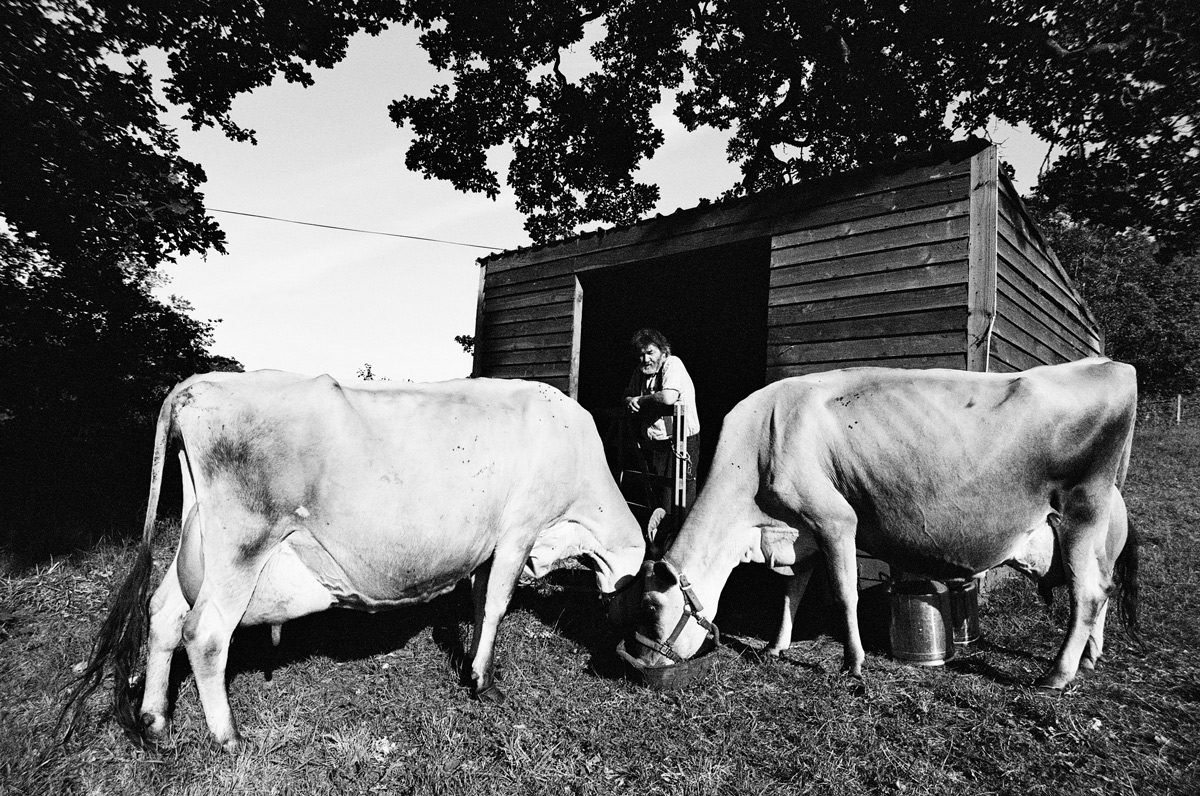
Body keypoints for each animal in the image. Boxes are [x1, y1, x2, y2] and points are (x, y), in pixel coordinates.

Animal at [624, 357, 1137, 686]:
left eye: (649, 606)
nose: (643, 657)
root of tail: (1110, 364)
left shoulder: (835, 519)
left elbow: (844, 593)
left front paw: (853, 663)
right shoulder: (798, 531)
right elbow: (791, 591)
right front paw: (776, 646)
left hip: (1080, 513)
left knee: (1089, 593)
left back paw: (1058, 674)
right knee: (1102, 589)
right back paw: (1089, 660)